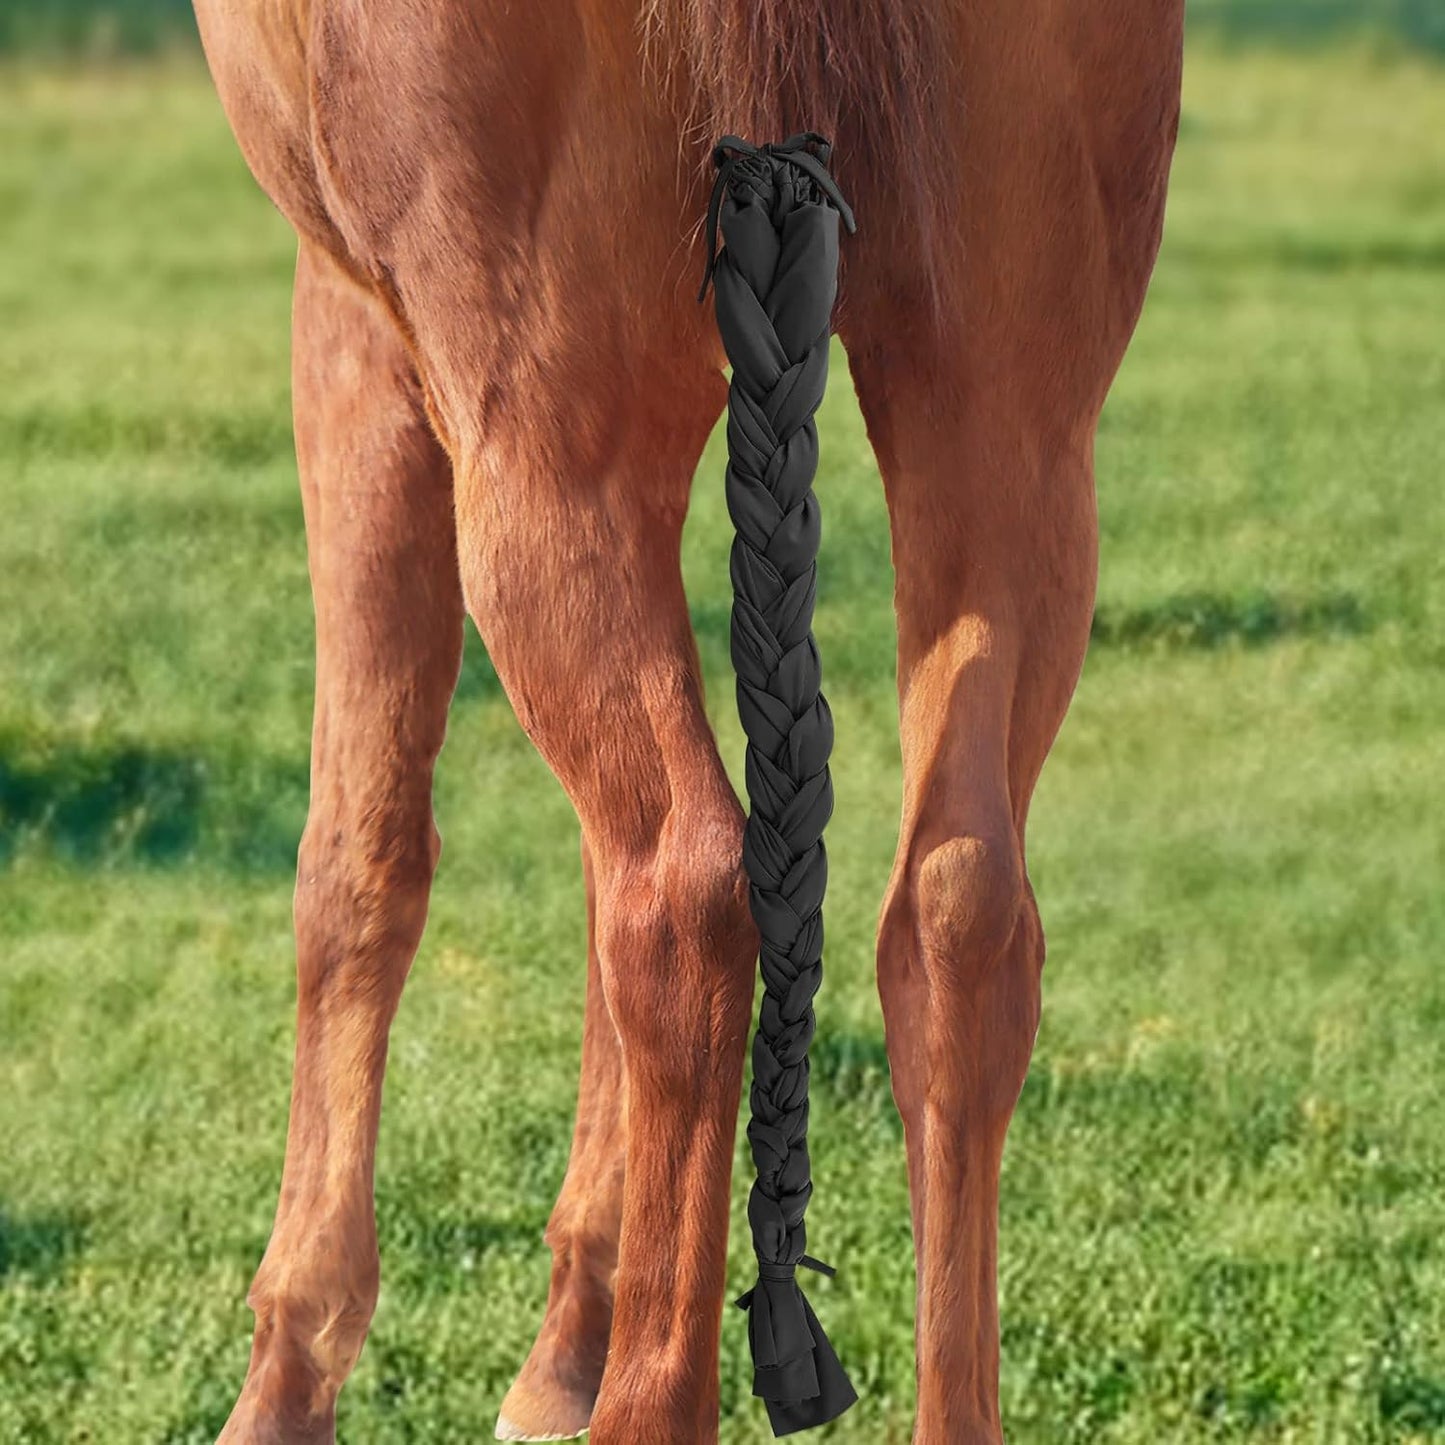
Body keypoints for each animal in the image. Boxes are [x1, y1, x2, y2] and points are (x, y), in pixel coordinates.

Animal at [190, 0, 1184, 1439]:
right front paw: (570, 1331)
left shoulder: (358, 333)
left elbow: (357, 865)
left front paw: (287, 1373)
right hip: (1015, 430)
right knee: (959, 911)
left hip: (540, 430)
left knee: (684, 887)